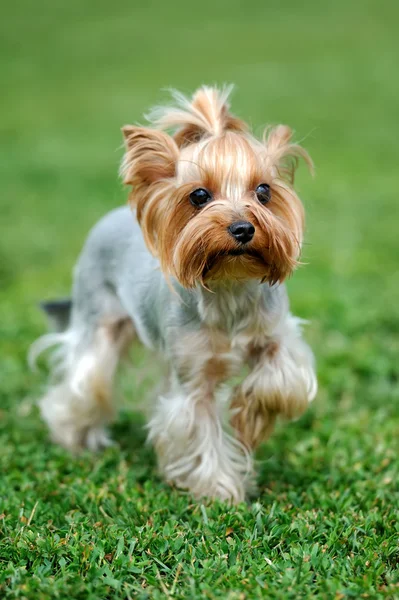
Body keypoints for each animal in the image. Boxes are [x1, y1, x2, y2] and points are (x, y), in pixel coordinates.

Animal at [30, 86, 318, 504]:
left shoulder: (278, 333)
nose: (243, 228)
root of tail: (112, 216)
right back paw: (76, 438)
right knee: (86, 379)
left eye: (264, 191)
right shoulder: (194, 377)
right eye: (199, 195)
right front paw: (219, 492)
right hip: (97, 318)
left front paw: (251, 417)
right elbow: (199, 428)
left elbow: (283, 383)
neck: (229, 284)